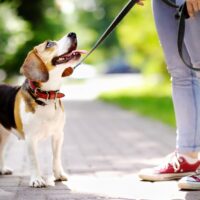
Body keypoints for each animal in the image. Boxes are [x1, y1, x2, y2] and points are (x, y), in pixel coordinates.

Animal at [0, 32, 86, 188]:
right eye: (49, 44)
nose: (73, 34)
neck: (47, 96)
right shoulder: (30, 139)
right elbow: (34, 161)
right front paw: (36, 179)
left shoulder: (58, 135)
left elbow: (56, 157)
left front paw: (58, 175)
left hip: (4, 133)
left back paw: (3, 169)